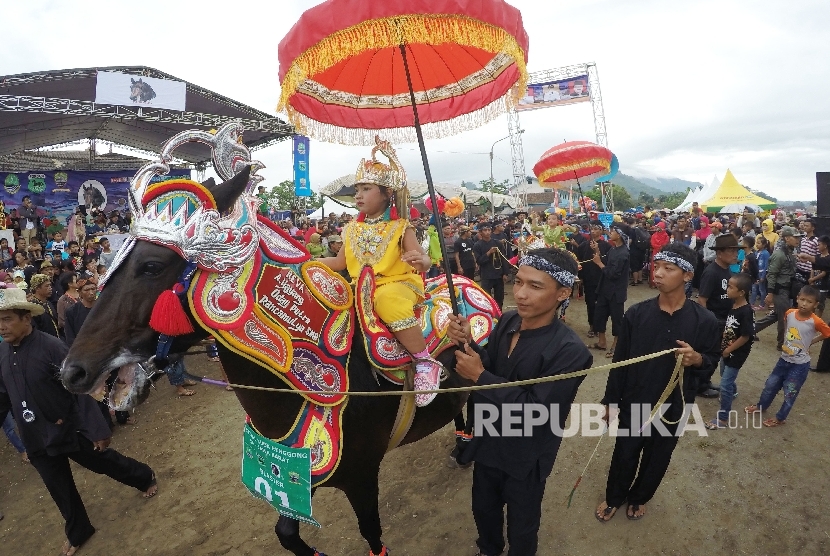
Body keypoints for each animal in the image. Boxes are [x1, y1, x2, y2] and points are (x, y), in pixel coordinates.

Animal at [60, 122, 500, 556]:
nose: (72, 371)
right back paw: (460, 441)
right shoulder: (296, 475)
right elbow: (285, 532)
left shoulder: (361, 478)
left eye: (151, 266)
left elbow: (373, 537)